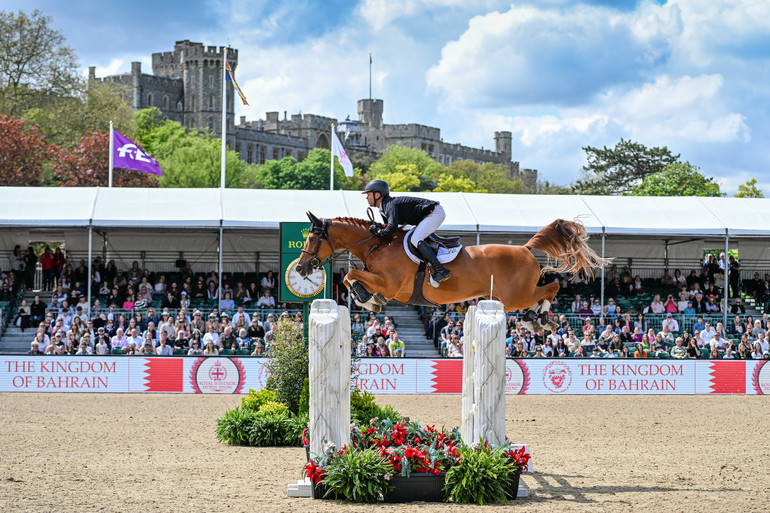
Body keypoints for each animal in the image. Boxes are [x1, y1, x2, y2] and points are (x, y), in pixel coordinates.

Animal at [298, 212, 608, 332]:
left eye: (311, 238)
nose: (301, 267)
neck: (378, 243)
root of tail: (525, 249)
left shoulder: (390, 284)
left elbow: (352, 276)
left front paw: (365, 298)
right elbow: (352, 276)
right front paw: (370, 300)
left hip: (514, 296)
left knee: (550, 289)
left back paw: (539, 317)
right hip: (509, 298)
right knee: (543, 294)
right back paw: (536, 320)